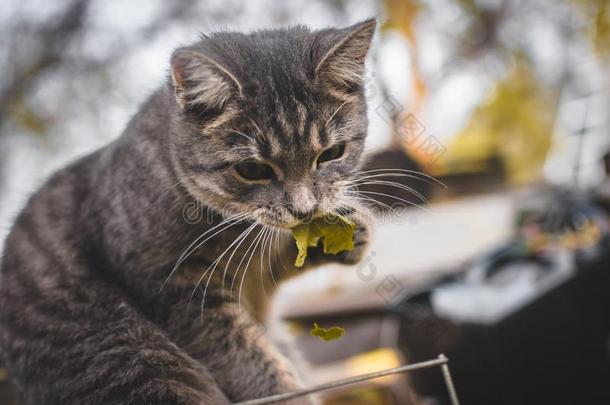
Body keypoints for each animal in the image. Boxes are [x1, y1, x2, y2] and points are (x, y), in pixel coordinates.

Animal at [0, 18, 376, 400]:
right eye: (252, 169)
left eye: (331, 153)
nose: (305, 209)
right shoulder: (179, 294)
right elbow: (255, 366)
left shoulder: (256, 276)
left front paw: (350, 228)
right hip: (140, 364)